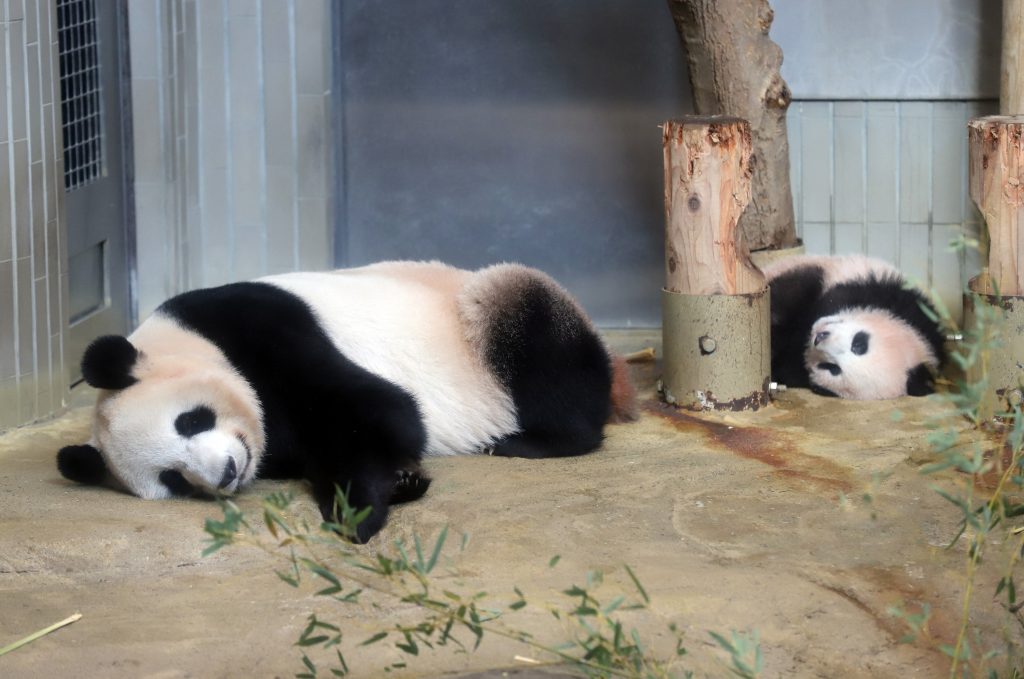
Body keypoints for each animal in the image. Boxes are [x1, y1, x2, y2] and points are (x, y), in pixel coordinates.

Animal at [56, 260, 634, 540]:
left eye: (189, 421)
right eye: (173, 479)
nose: (225, 473)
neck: (185, 338)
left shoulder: (264, 325)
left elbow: (379, 408)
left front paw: (356, 513)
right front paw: (401, 482)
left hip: (486, 312)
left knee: (534, 333)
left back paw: (526, 441)